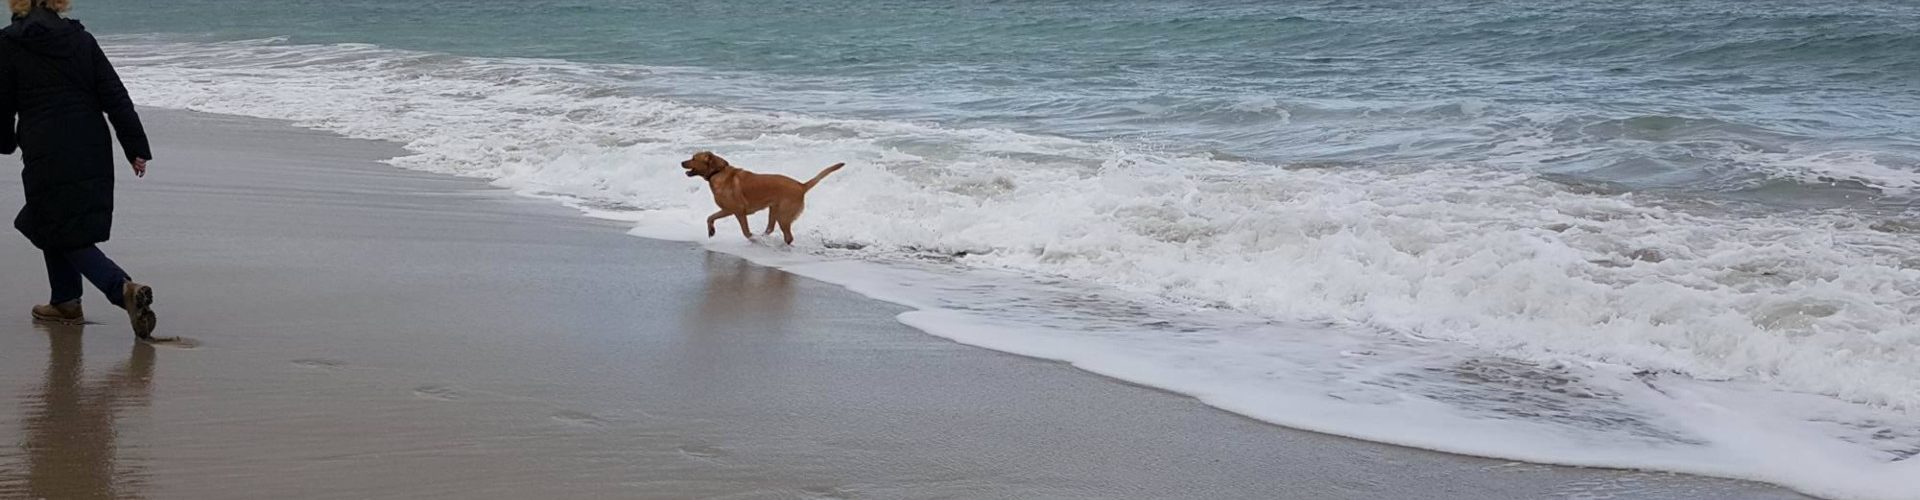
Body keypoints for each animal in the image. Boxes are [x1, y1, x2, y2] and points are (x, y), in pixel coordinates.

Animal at [687, 151, 844, 246]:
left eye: (694, 158)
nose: (683, 162)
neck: (717, 172)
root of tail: (801, 186)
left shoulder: (736, 210)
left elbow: (745, 231)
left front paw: (752, 238)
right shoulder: (727, 210)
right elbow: (710, 217)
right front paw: (711, 230)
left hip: (783, 216)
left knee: (788, 236)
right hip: (774, 210)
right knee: (770, 228)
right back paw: (765, 238)